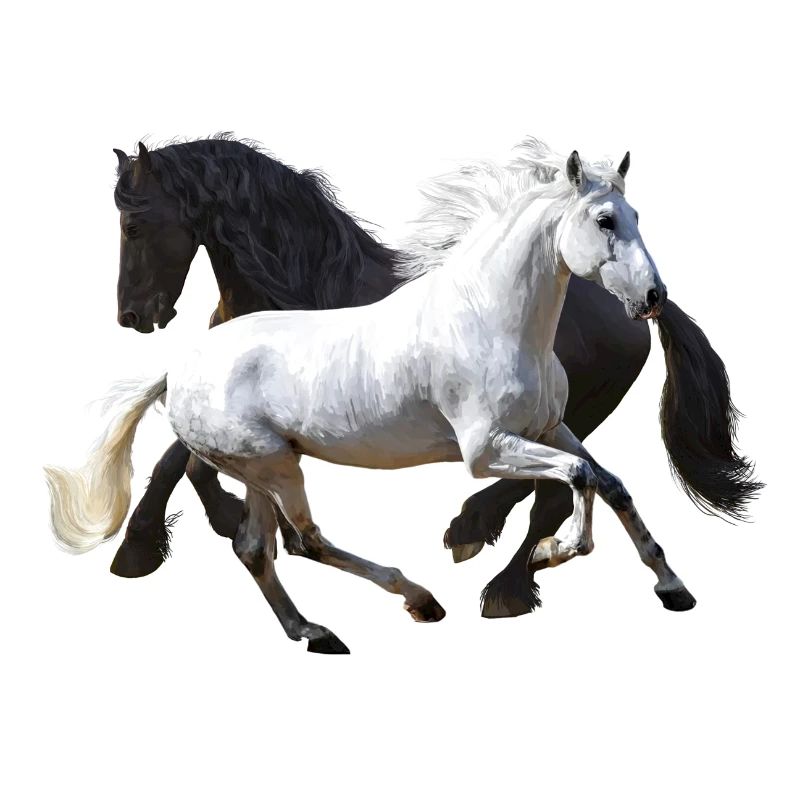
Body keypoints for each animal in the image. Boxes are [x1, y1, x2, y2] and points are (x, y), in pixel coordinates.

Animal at [47, 144, 740, 653]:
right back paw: (422, 599)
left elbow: (609, 482)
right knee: (300, 541)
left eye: (637, 217)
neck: (491, 316)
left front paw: (673, 586)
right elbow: (579, 480)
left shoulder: (550, 429)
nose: (650, 297)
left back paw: (318, 629)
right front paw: (556, 554)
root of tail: (178, 369)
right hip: (273, 464)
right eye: (604, 220)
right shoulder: (485, 450)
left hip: (264, 467)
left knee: (257, 546)